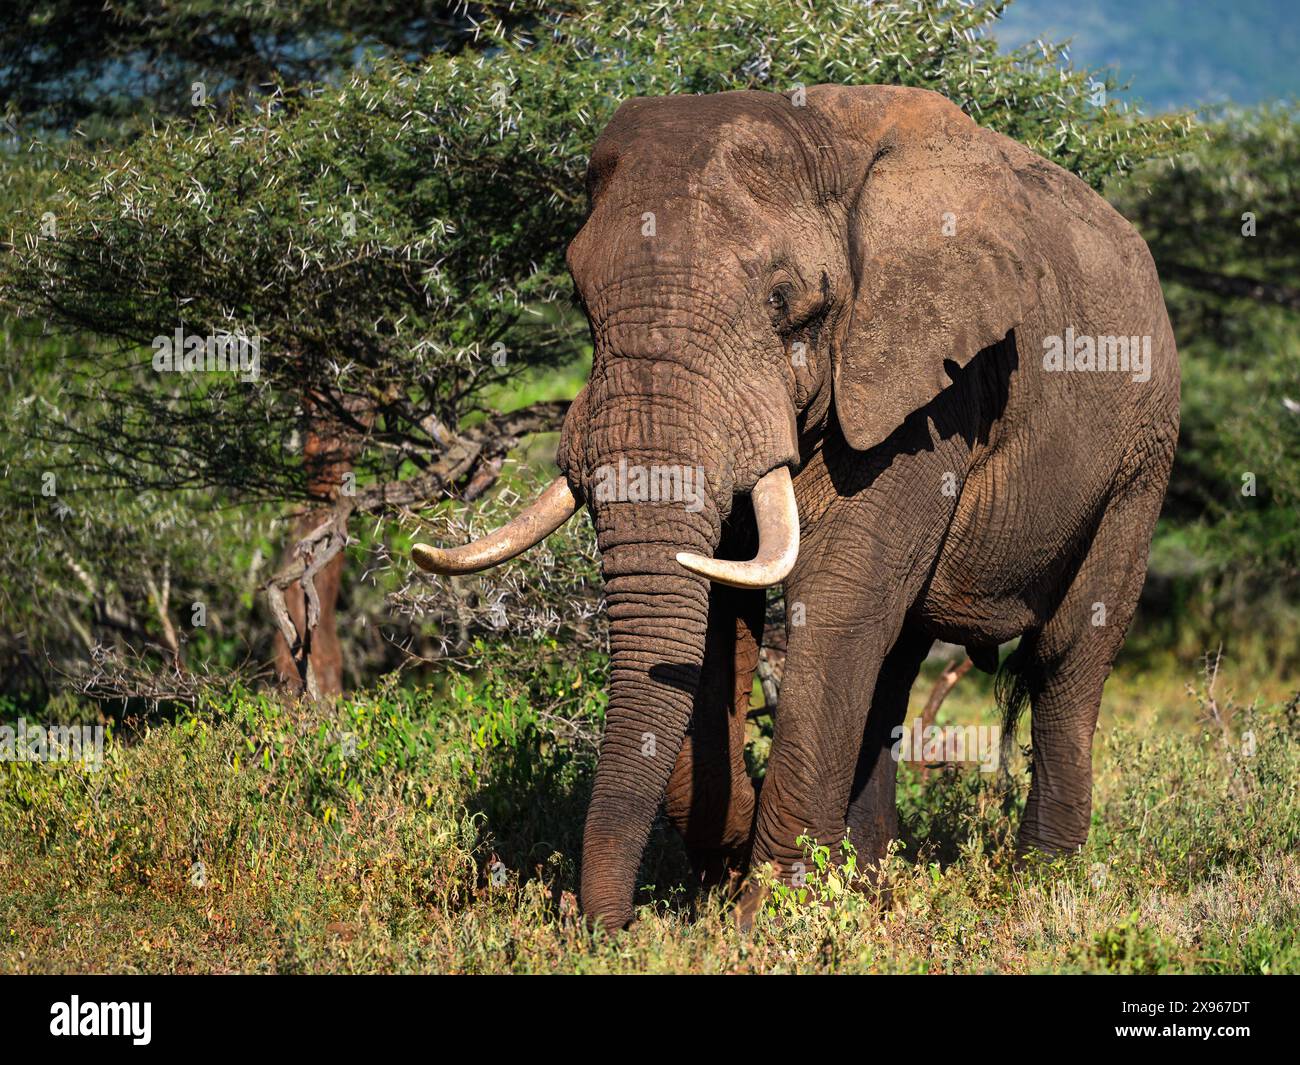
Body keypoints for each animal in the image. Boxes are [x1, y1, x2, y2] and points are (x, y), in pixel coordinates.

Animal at [413, 85, 1180, 931]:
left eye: (788, 303)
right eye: (582, 301)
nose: (606, 929)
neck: (819, 133)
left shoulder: (926, 391)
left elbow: (837, 598)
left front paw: (770, 919)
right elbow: (725, 611)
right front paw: (743, 861)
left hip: (1142, 454)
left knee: (1066, 653)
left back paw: (1038, 885)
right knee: (895, 661)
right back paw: (871, 882)